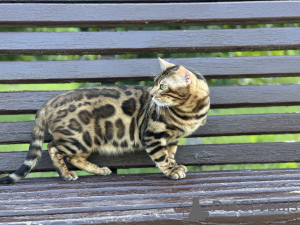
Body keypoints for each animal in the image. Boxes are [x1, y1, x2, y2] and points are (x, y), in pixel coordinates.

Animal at [0, 59, 210, 184]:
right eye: (155, 84)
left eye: (163, 86)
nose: (151, 94)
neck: (190, 112)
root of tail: (50, 101)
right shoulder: (152, 136)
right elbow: (162, 157)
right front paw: (171, 171)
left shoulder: (172, 139)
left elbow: (171, 154)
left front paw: (176, 166)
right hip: (79, 138)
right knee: (53, 148)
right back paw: (66, 174)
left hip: (87, 141)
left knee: (74, 158)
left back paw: (99, 170)